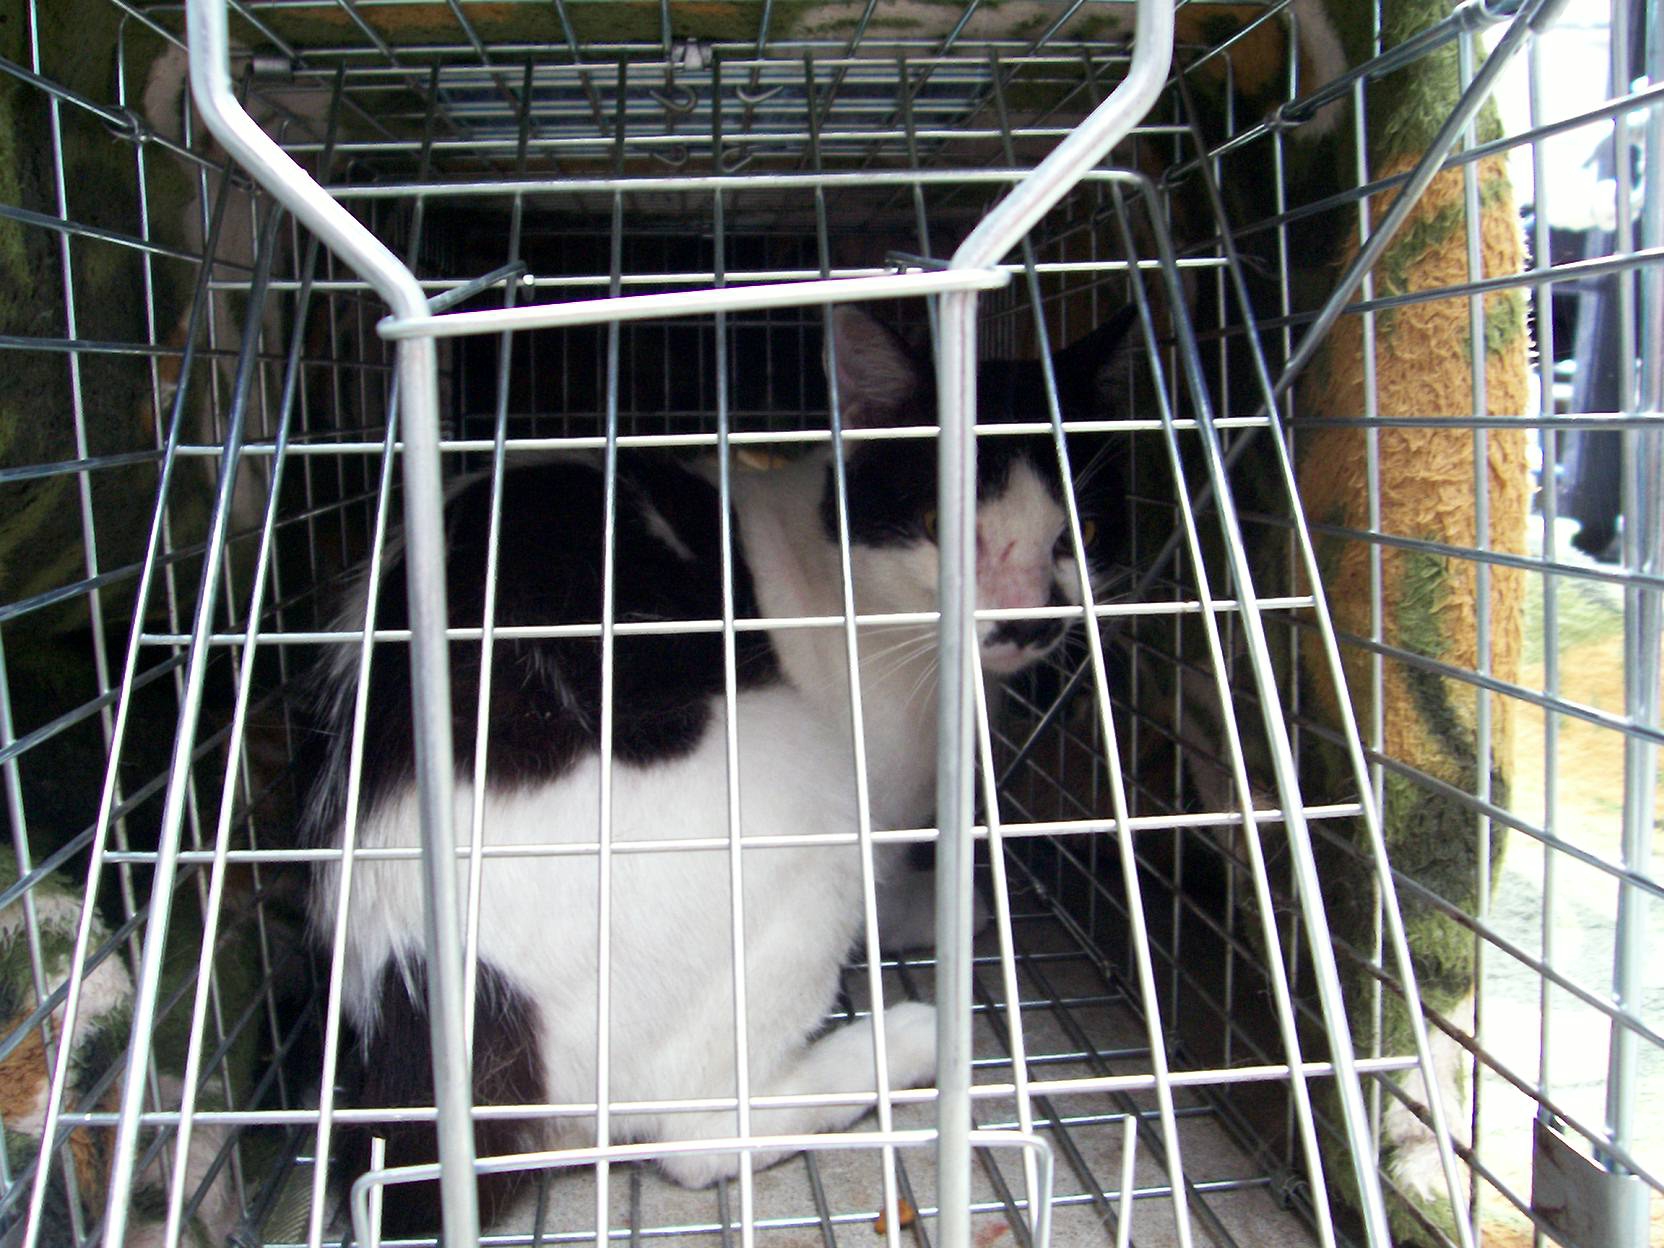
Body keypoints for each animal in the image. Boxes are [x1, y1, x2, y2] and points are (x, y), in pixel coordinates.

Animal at [296, 304, 1138, 1233]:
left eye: (1084, 532)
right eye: (936, 524)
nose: (1028, 622)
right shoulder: (862, 789)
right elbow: (879, 877)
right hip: (797, 779)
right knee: (698, 1137)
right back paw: (901, 1045)